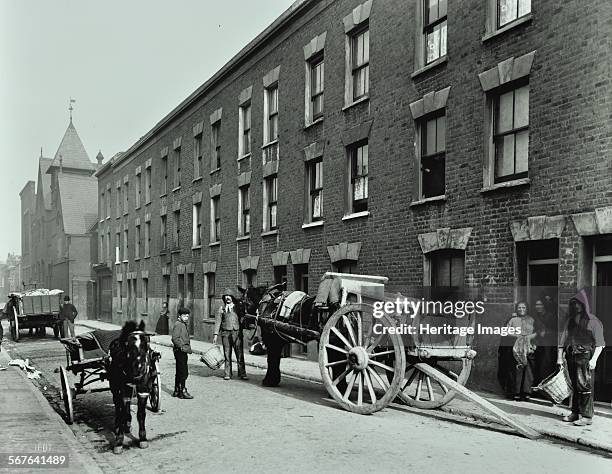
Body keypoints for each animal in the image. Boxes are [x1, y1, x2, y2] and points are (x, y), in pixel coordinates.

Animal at [107, 320, 160, 454]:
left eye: (146, 343)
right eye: (127, 344)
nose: (139, 369)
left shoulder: (143, 390)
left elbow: (141, 414)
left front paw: (143, 438)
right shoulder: (123, 389)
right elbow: (121, 413)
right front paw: (119, 442)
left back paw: (128, 424)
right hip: (115, 386)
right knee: (118, 404)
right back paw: (119, 426)